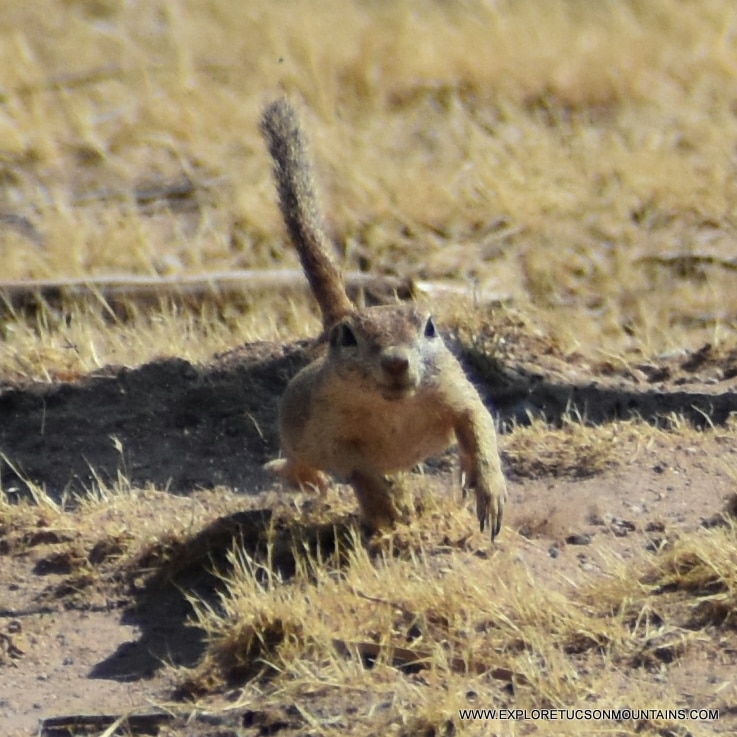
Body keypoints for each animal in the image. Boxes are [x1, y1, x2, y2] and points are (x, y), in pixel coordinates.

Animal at [260, 98, 506, 536]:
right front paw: (387, 510)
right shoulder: (331, 433)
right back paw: (301, 477)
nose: (395, 362)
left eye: (429, 327)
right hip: (298, 435)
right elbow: (358, 469)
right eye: (350, 339)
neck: (393, 409)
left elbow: (478, 427)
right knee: (302, 463)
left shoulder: (456, 392)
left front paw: (489, 490)